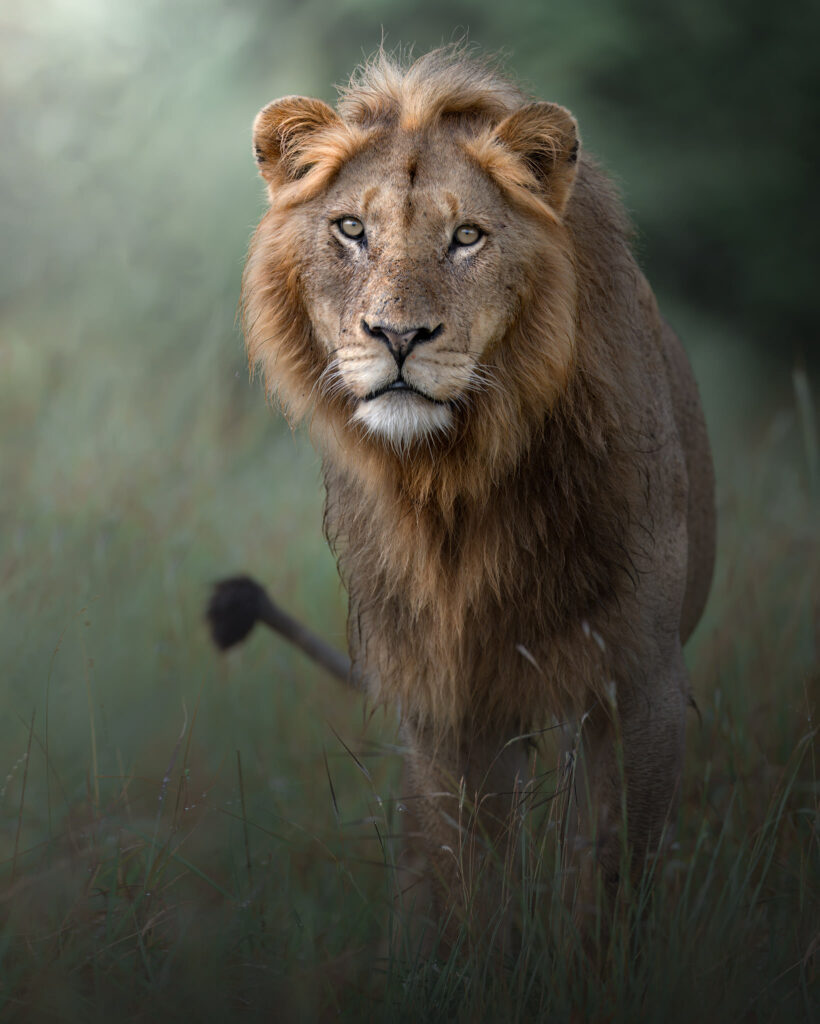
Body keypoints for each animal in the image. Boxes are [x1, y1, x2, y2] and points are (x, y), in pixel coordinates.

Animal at [237, 45, 715, 944]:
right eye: (351, 229)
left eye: (467, 238)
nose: (397, 336)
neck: (456, 483)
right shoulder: (450, 698)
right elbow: (467, 880)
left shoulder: (638, 683)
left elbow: (604, 878)